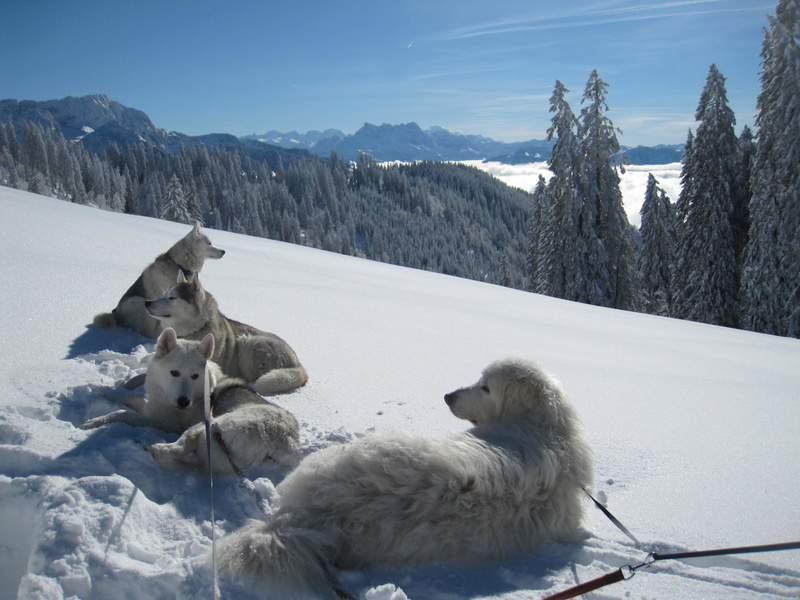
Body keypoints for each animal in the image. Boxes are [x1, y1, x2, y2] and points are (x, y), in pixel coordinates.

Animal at [145, 270, 308, 394]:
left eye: (172, 298)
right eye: (164, 294)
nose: (147, 302)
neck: (195, 329)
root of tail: (299, 364)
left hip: (249, 343)